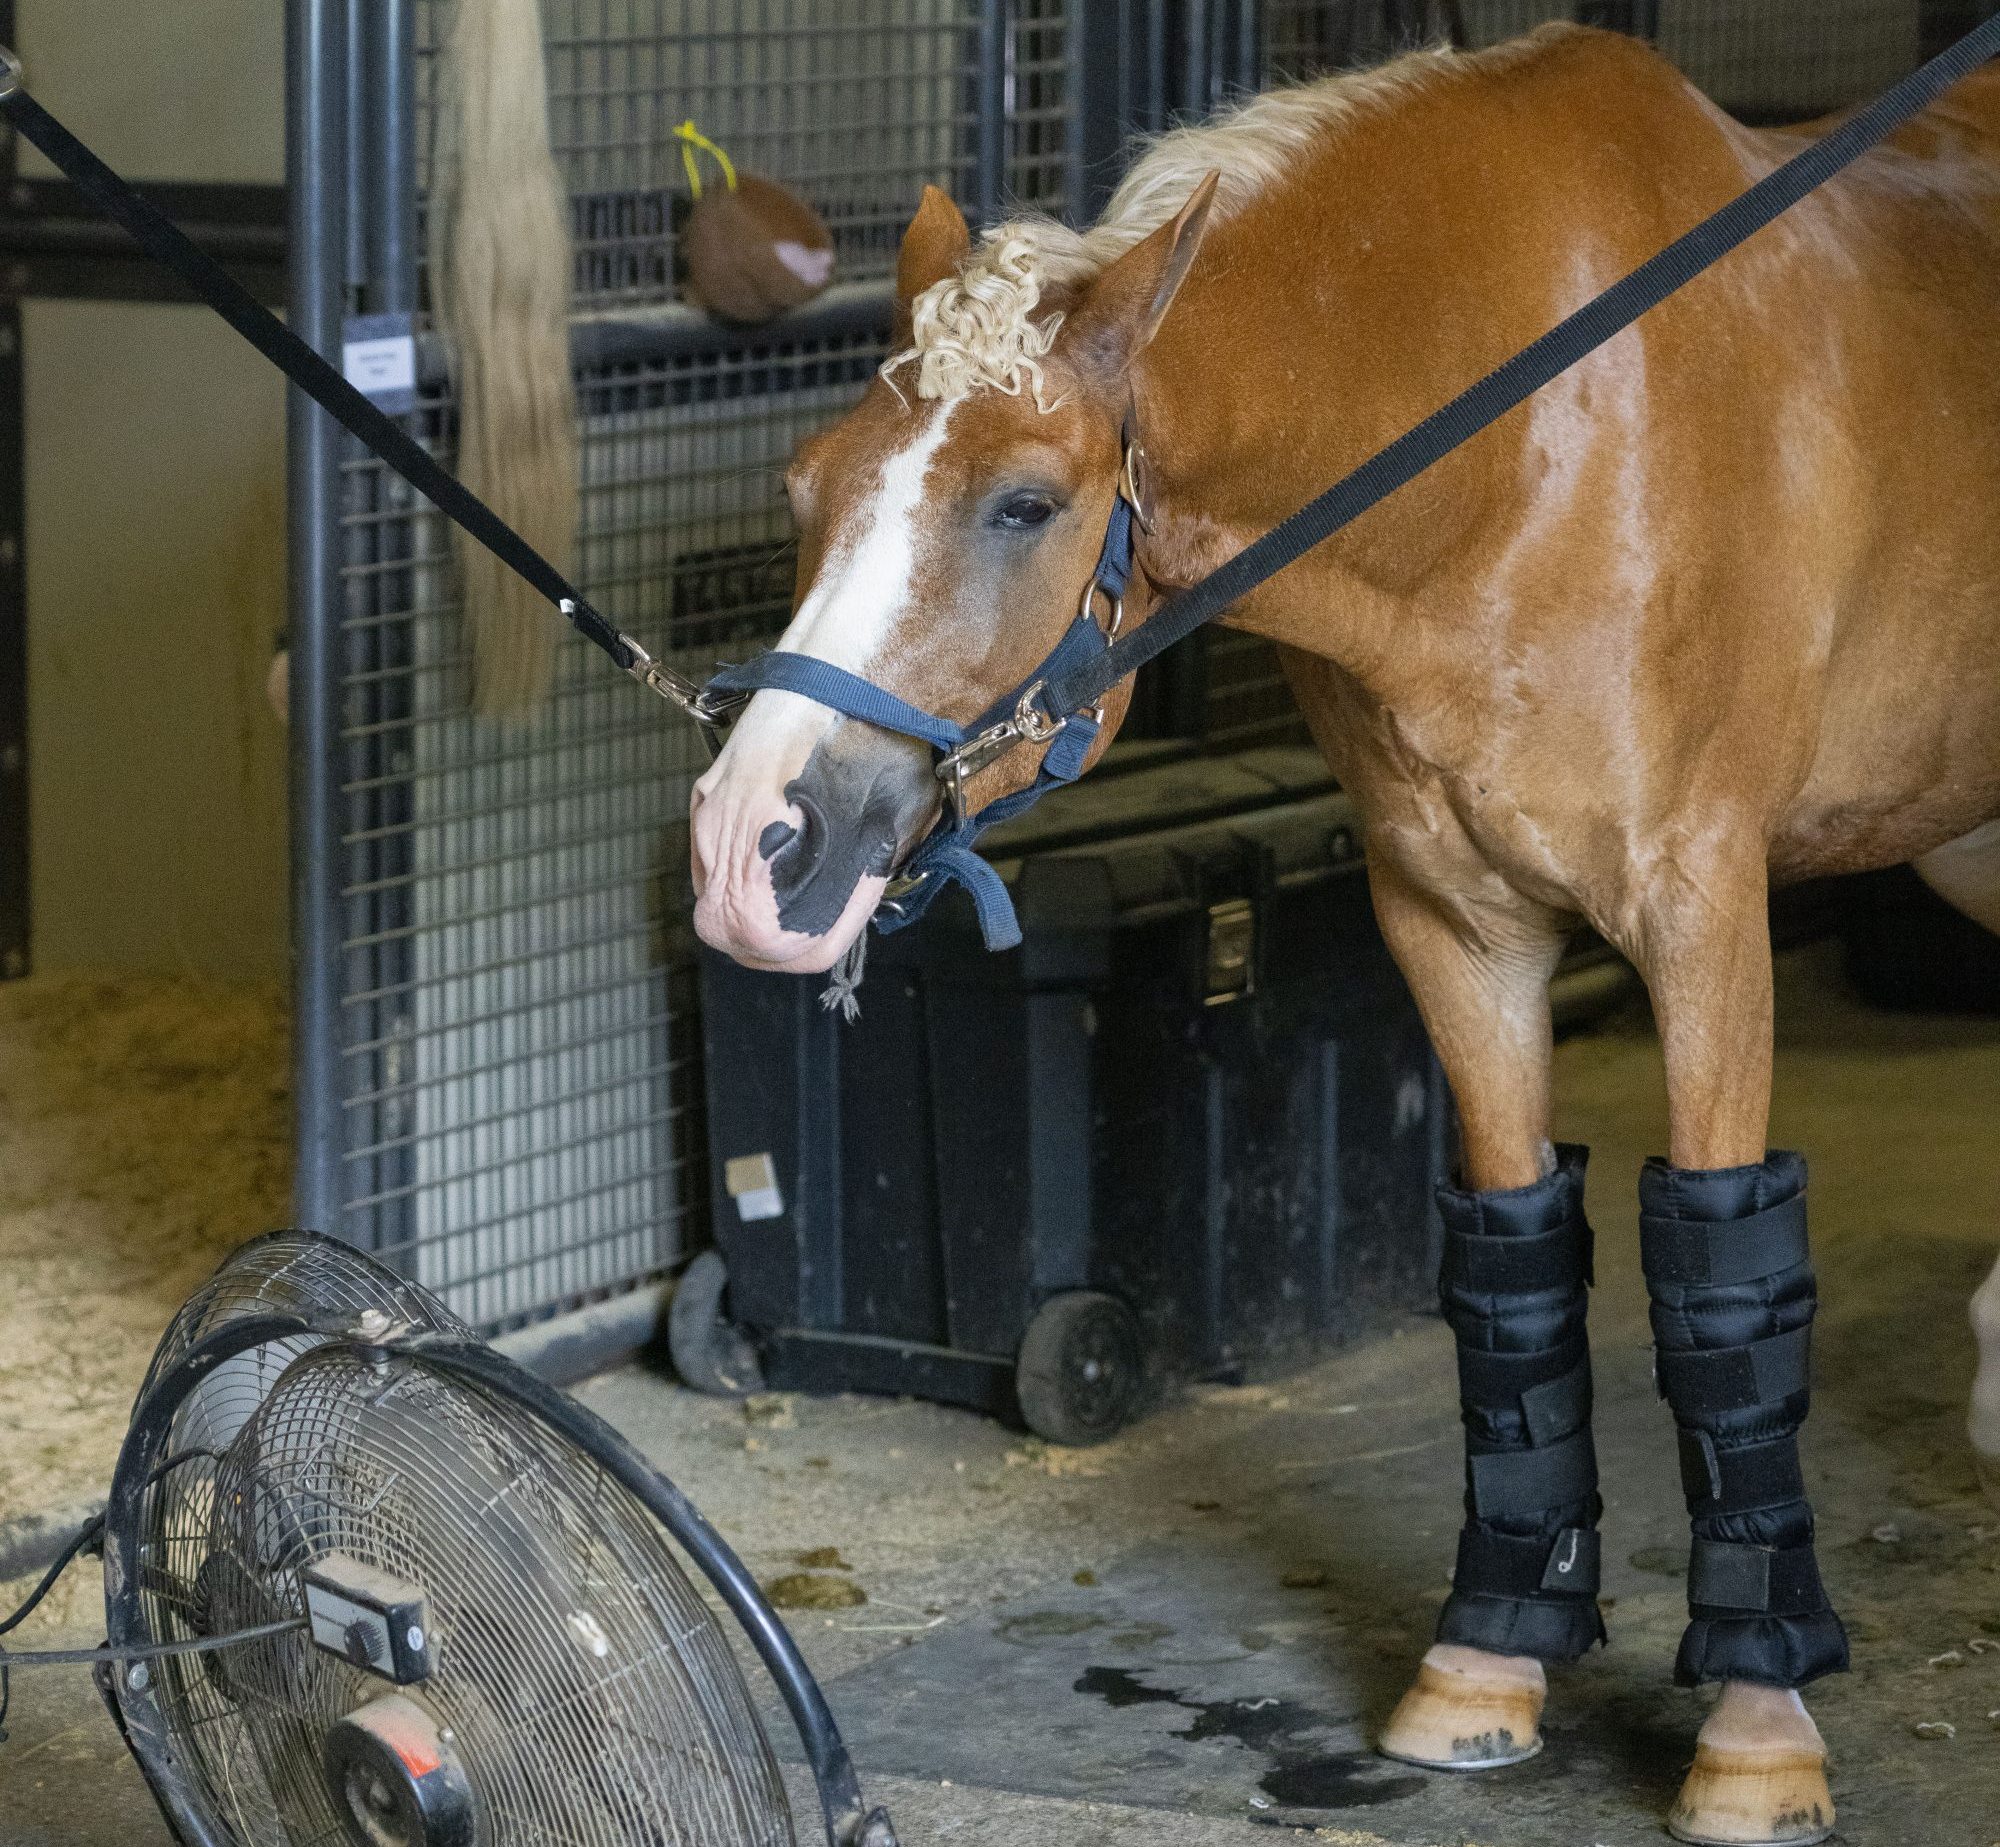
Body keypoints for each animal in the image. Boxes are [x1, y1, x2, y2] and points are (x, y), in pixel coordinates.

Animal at [687, 25, 2000, 1844]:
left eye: (1022, 503)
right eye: (803, 488)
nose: (749, 845)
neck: (1540, 436)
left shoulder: (1702, 912)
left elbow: (1724, 1294)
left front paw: (1757, 1727)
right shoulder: (1452, 917)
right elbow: (1511, 1258)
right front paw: (1483, 1663)